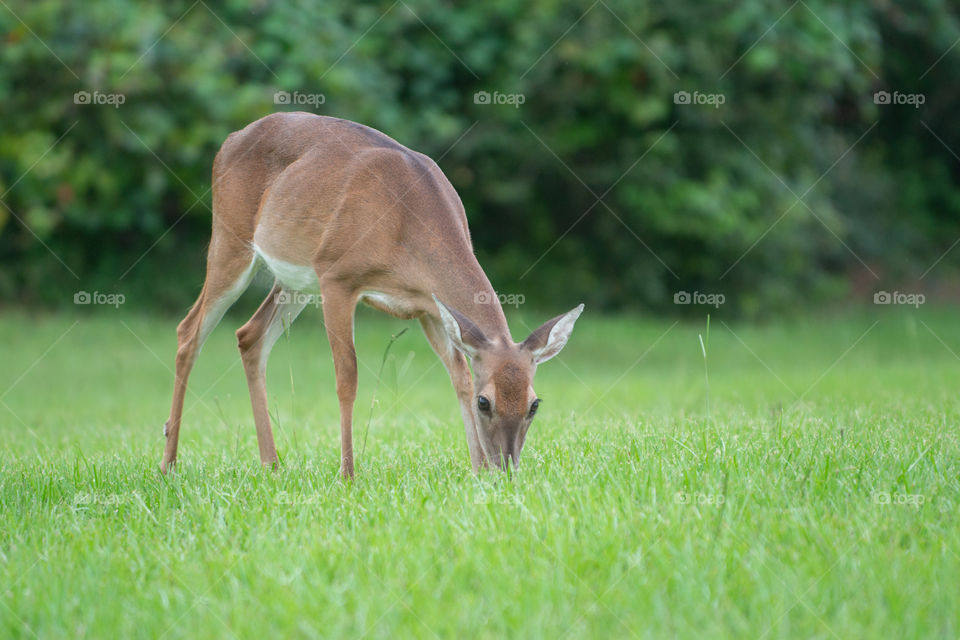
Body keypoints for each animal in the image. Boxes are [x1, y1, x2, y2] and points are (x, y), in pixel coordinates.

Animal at [161, 112, 584, 478]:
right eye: (487, 402)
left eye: (534, 404)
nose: (507, 468)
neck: (405, 224)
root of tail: (230, 139)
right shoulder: (337, 277)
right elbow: (347, 377)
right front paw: (347, 474)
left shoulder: (430, 309)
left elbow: (459, 376)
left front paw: (477, 469)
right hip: (230, 241)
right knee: (188, 330)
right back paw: (169, 463)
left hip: (295, 279)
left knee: (250, 335)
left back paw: (272, 464)